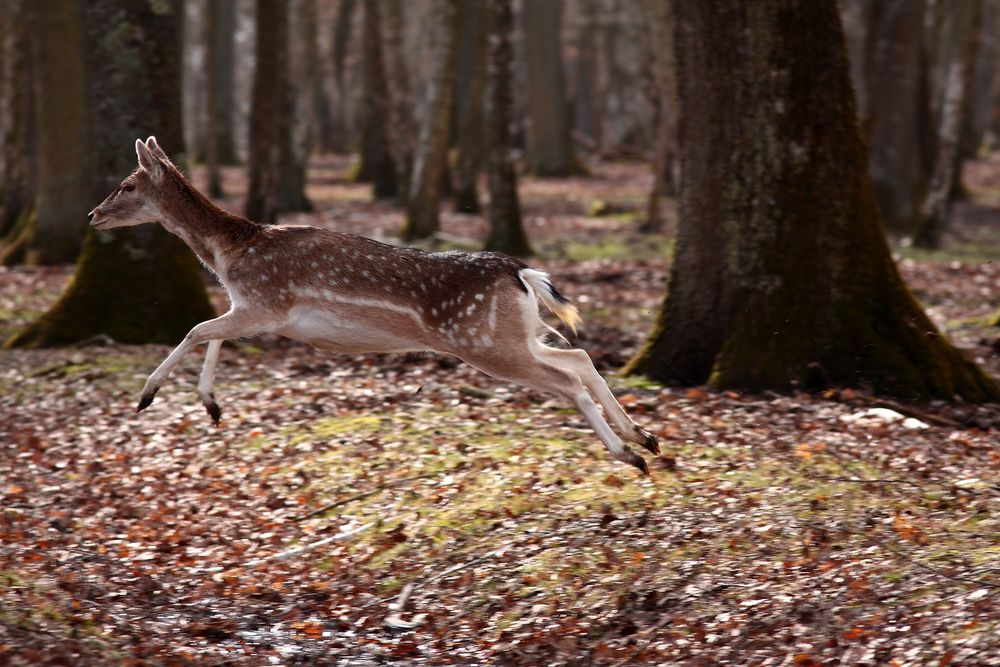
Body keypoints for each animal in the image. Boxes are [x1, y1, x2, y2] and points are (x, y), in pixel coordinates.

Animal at [88, 137, 664, 474]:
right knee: (578, 357)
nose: (93, 215)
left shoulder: (267, 303)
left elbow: (197, 328)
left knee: (567, 378)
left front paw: (147, 396)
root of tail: (521, 273)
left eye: (127, 184)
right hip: (512, 334)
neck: (232, 255)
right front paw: (211, 406)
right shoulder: (254, 309)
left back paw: (629, 454)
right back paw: (646, 437)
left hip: (483, 342)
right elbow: (211, 333)